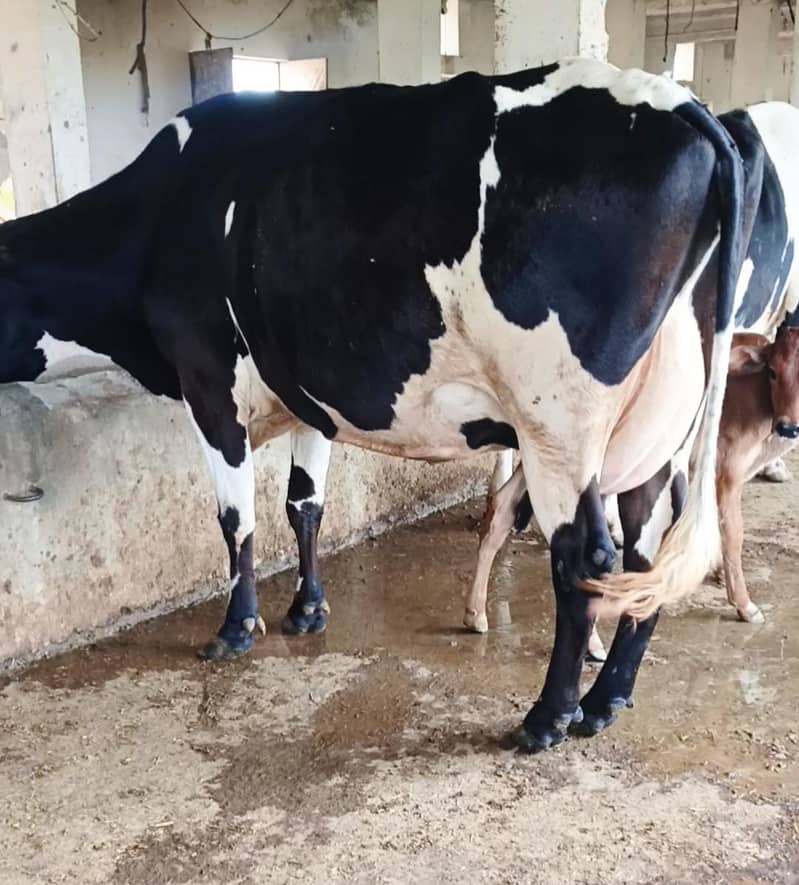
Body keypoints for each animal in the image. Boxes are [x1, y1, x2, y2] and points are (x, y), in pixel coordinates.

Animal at [0, 58, 751, 752]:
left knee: (585, 556)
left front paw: (236, 628)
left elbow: (237, 519)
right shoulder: (310, 395)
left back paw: (546, 718)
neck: (159, 213)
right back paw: (604, 702)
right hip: (654, 434)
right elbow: (303, 505)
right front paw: (307, 611)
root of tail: (675, 99)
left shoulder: (209, 380)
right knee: (644, 557)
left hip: (559, 423)